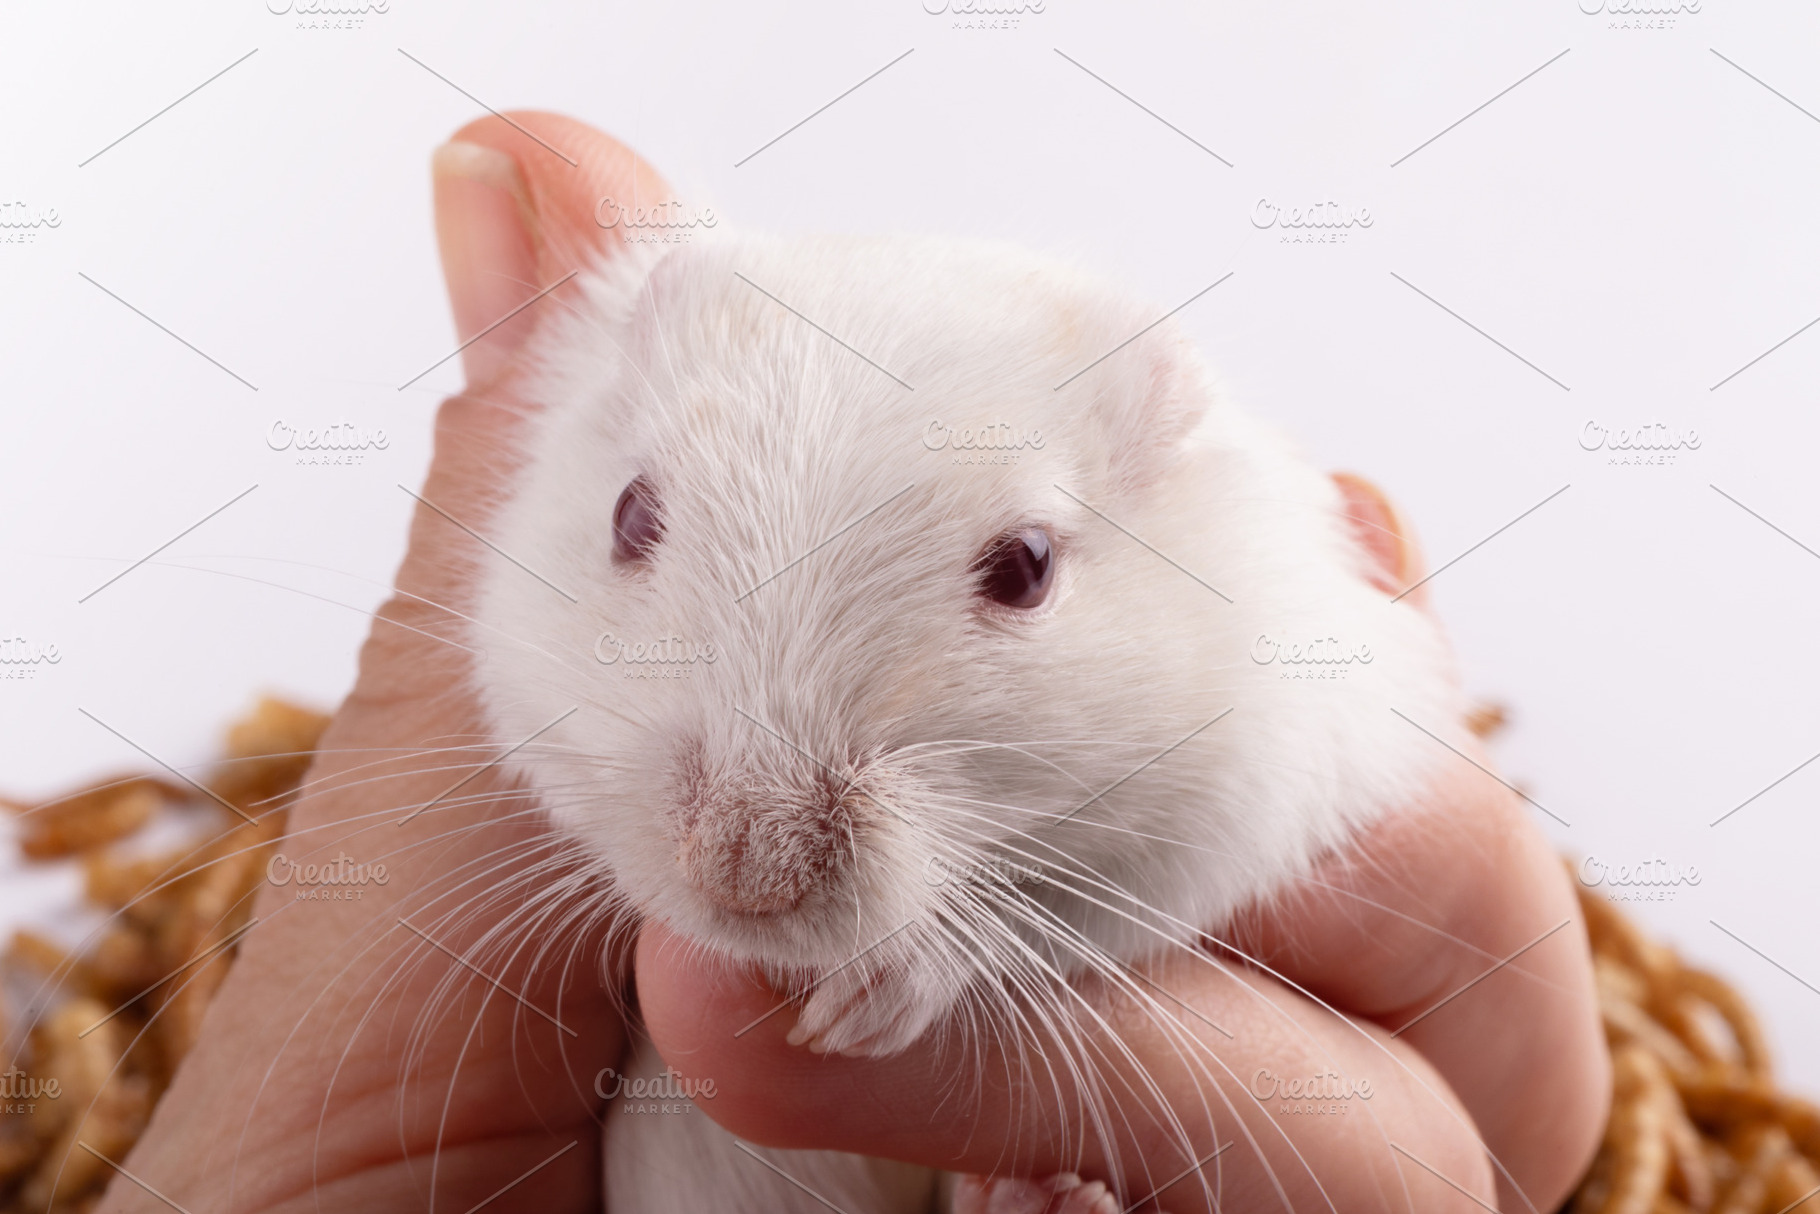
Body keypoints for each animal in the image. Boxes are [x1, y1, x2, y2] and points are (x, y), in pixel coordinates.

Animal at [469, 230, 1462, 1212]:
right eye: (629, 514)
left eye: (1028, 566)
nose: (742, 881)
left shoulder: (1244, 801)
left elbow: (1060, 914)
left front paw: (863, 1008)